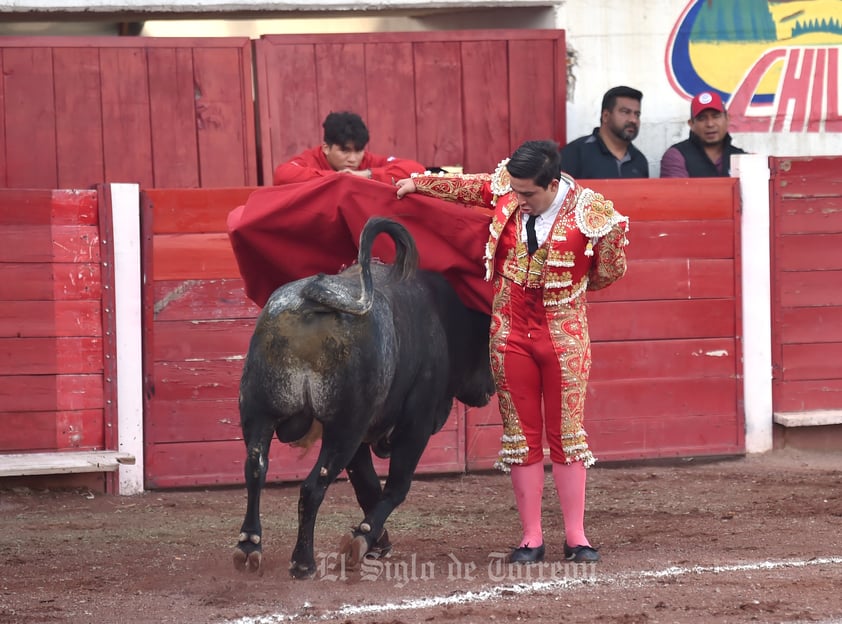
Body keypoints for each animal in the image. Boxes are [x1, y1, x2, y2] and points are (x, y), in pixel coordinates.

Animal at [231, 217, 492, 576]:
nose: (490, 389)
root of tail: (308, 303)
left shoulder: (361, 435)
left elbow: (366, 485)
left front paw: (375, 541)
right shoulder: (415, 424)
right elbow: (395, 486)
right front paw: (364, 539)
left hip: (260, 412)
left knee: (255, 468)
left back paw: (249, 545)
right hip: (345, 427)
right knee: (313, 485)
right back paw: (303, 561)